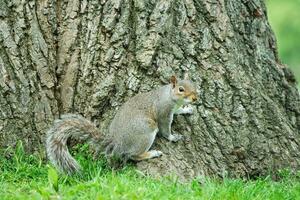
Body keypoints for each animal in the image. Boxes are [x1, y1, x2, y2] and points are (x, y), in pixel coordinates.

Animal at [45, 74, 198, 174]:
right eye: (181, 89)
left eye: (193, 84)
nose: (195, 98)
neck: (169, 96)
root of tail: (117, 143)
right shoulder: (163, 112)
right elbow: (165, 129)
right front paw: (173, 137)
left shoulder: (174, 108)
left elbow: (179, 111)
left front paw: (187, 109)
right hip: (146, 132)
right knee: (133, 156)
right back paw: (151, 153)